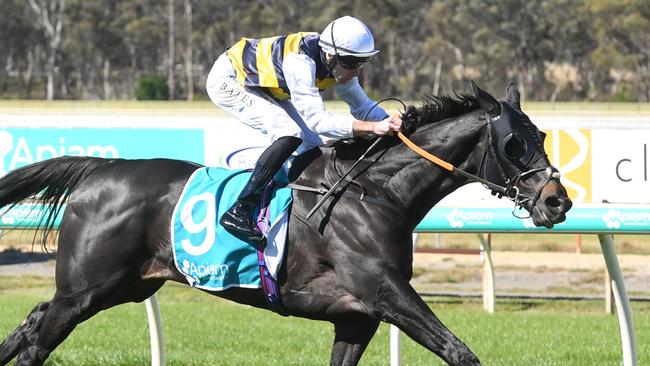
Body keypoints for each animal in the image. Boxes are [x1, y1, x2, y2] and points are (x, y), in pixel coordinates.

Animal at [0, 81, 568, 364]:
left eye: (540, 135)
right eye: (514, 144)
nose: (557, 201)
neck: (376, 192)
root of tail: (101, 167)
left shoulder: (356, 316)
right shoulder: (385, 292)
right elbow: (459, 351)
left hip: (124, 286)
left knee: (32, 324)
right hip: (86, 290)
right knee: (38, 340)